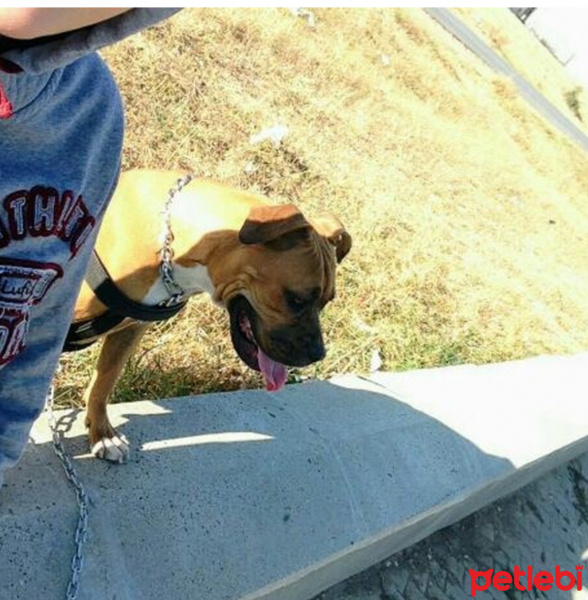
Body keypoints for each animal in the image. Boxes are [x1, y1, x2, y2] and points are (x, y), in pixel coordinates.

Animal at [71, 171, 352, 462]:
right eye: (295, 299)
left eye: (326, 302)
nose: (317, 354)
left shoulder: (131, 330)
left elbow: (104, 379)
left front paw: (102, 433)